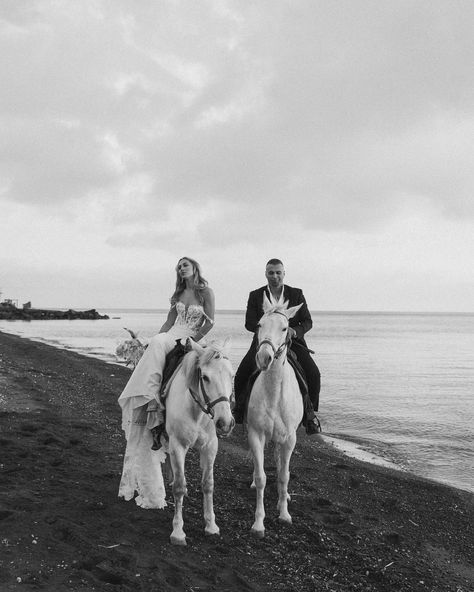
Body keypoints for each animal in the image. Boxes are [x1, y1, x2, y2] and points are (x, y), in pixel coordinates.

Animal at [165, 338, 235, 544]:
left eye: (232, 375)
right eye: (205, 377)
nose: (225, 423)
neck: (196, 411)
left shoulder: (210, 447)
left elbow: (208, 484)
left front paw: (211, 526)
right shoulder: (178, 446)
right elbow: (179, 487)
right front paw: (178, 531)